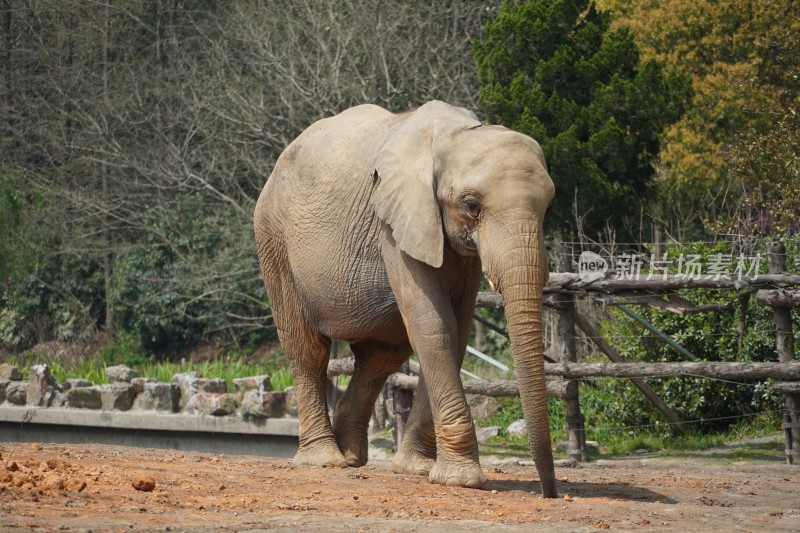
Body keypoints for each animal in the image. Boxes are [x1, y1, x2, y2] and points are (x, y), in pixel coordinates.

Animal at [255, 101, 556, 498]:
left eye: (548, 206)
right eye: (472, 205)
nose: (549, 492)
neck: (454, 135)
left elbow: (455, 332)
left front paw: (418, 469)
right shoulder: (397, 224)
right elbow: (433, 326)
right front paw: (461, 480)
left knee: (382, 356)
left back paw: (351, 457)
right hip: (274, 240)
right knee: (309, 350)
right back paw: (325, 460)